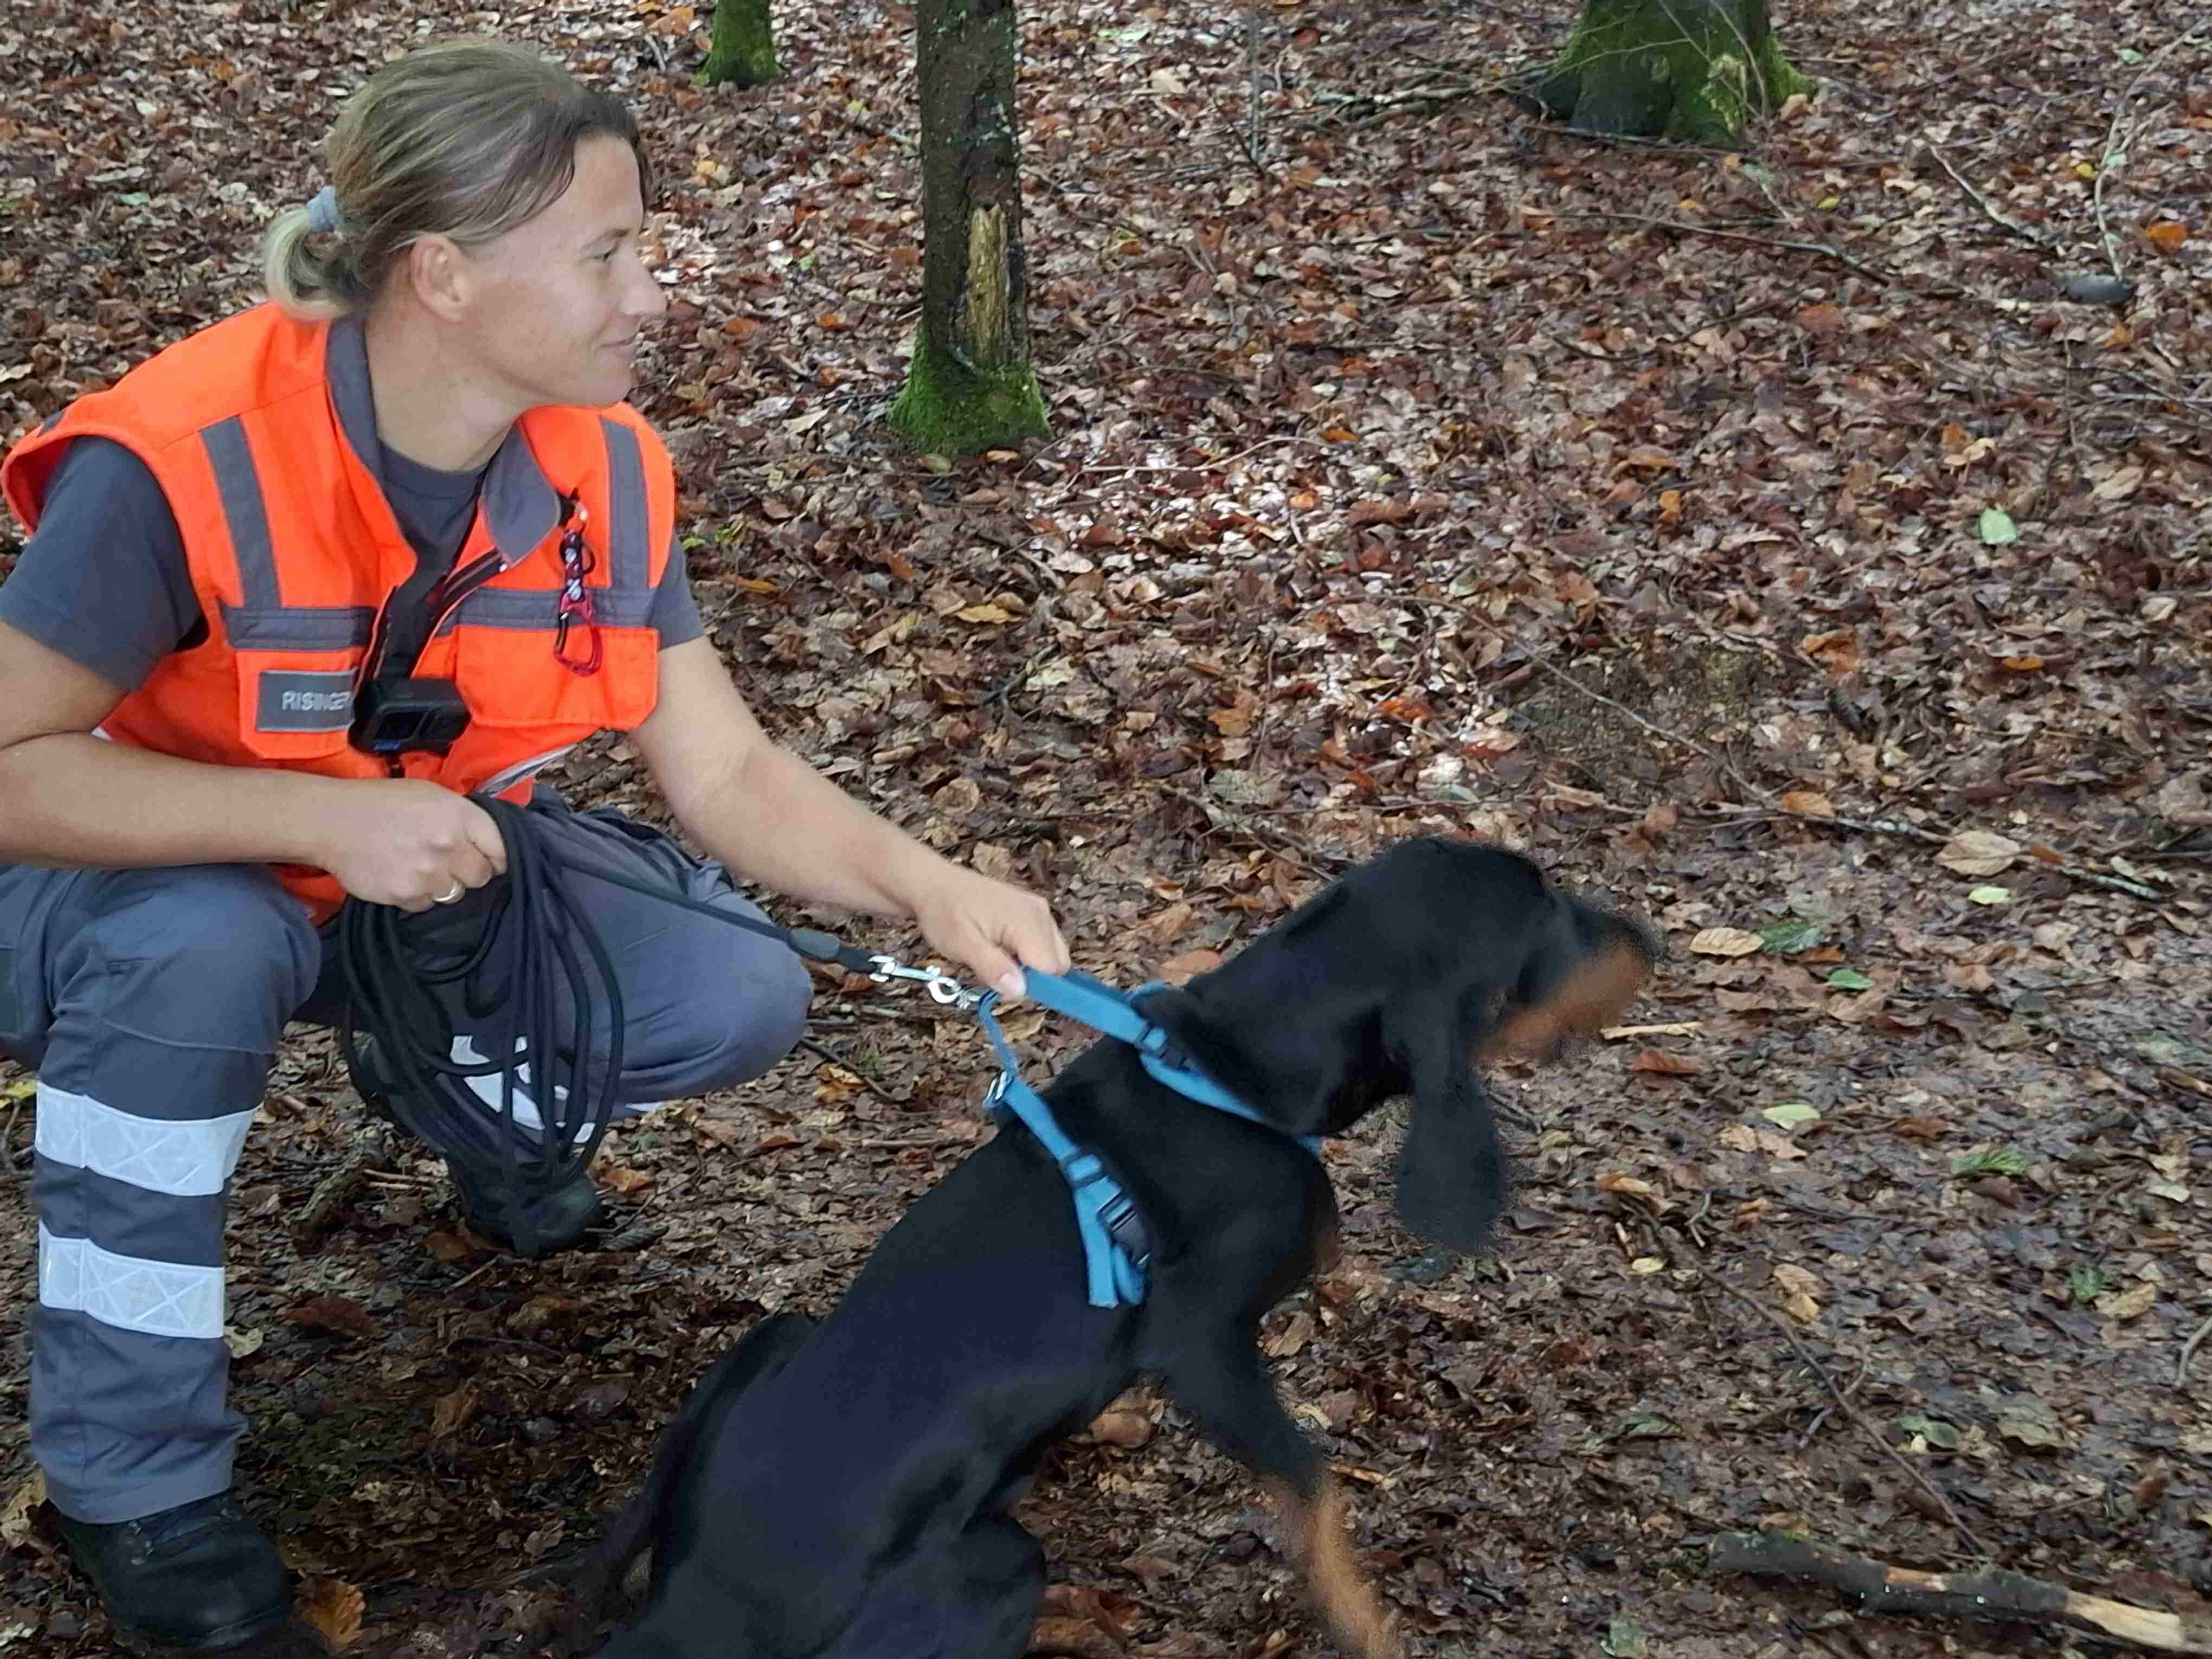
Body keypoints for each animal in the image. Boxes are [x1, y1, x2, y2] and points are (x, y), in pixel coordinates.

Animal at [589, 839, 1658, 1659]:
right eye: (1546, 915)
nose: (1649, 940)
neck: (1231, 1073)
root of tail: (700, 1611)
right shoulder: (1200, 1341)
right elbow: (1315, 1490)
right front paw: (1366, 1624)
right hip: (993, 1571)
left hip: (771, 1337)